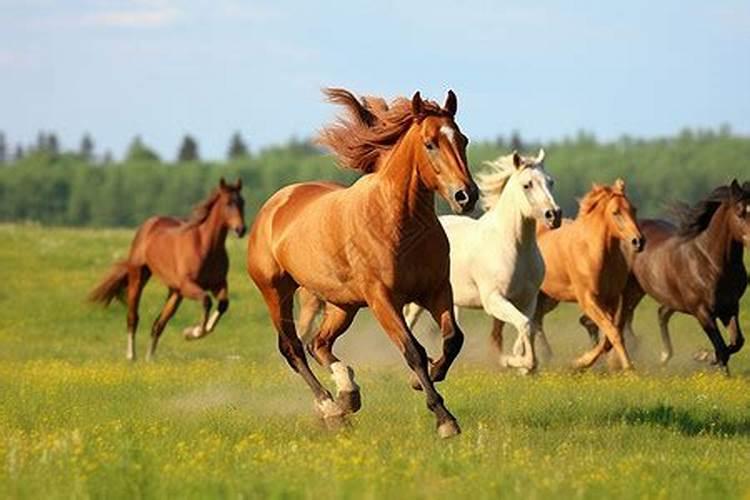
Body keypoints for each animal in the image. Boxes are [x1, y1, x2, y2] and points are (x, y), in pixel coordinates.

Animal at [89, 178, 247, 362]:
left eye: (242, 202)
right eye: (228, 203)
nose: (241, 229)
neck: (205, 246)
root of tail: (149, 224)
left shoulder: (218, 284)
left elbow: (223, 304)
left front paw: (194, 332)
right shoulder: (188, 285)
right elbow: (206, 301)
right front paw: (192, 332)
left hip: (174, 293)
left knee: (158, 324)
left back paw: (150, 359)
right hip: (139, 277)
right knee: (133, 317)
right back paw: (131, 356)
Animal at [250, 87, 478, 438]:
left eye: (462, 140)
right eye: (430, 143)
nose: (466, 195)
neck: (399, 222)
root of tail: (273, 205)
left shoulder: (437, 290)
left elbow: (453, 339)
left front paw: (425, 378)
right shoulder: (382, 298)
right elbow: (413, 350)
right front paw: (444, 419)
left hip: (342, 305)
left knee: (319, 343)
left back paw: (347, 395)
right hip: (277, 292)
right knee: (293, 347)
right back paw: (329, 407)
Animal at [406, 150, 564, 374]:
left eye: (550, 182)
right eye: (527, 185)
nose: (554, 215)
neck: (514, 246)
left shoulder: (528, 301)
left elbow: (527, 328)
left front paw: (521, 363)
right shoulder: (493, 300)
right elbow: (525, 325)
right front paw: (515, 362)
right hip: (417, 301)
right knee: (408, 323)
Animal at [528, 180, 648, 372]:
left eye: (634, 209)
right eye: (615, 212)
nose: (638, 241)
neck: (595, 254)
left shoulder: (611, 299)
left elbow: (609, 336)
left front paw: (579, 362)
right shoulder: (588, 299)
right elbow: (613, 332)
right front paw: (629, 369)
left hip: (548, 299)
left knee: (535, 321)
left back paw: (544, 357)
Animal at [580, 180, 750, 372]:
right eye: (740, 213)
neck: (710, 261)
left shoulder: (730, 307)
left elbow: (736, 342)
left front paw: (707, 357)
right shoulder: (702, 311)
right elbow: (721, 347)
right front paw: (707, 358)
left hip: (644, 293)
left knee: (654, 315)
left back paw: (661, 356)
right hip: (627, 294)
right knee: (604, 325)